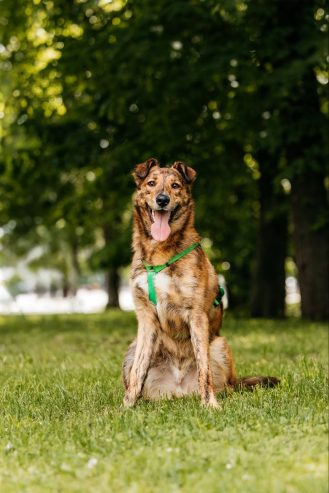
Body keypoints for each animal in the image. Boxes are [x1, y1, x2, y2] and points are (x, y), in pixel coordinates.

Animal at [121, 158, 278, 408]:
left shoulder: (196, 315)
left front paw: (210, 405)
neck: (160, 251)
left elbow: (204, 369)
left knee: (226, 384)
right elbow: (138, 372)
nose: (162, 200)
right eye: (151, 183)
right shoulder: (146, 319)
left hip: (220, 345)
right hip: (131, 348)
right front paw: (126, 407)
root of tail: (179, 390)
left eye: (175, 186)